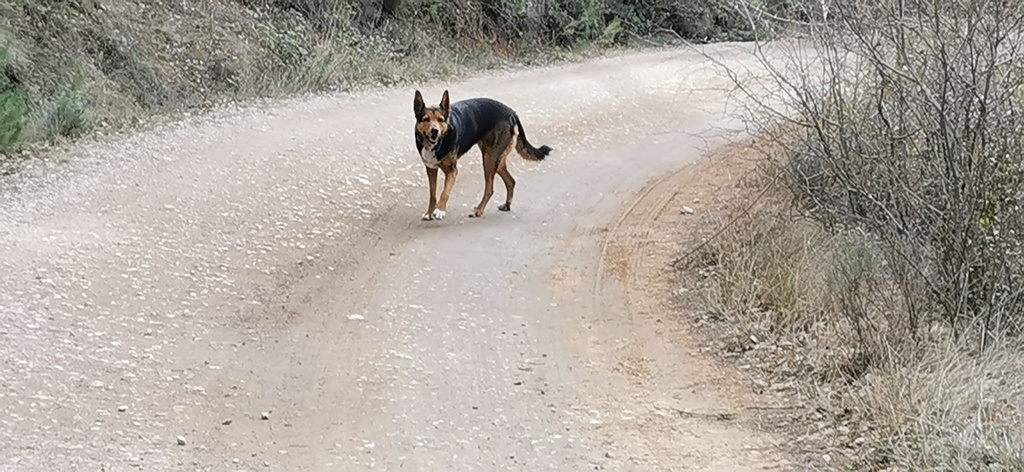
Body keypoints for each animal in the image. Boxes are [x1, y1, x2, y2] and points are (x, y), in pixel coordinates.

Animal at [411, 89, 552, 220]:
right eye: (426, 119)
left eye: (441, 120)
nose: (435, 131)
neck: (438, 144)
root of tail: (511, 112)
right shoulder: (431, 169)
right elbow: (432, 194)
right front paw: (429, 212)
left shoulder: (452, 171)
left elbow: (444, 193)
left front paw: (440, 210)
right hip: (496, 160)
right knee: (511, 181)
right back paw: (506, 205)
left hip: (489, 158)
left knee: (490, 189)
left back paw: (478, 211)